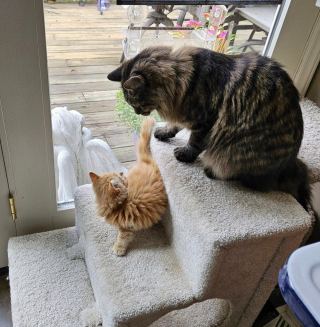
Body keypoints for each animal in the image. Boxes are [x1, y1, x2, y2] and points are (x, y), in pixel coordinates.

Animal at [89, 116, 166, 258]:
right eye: (121, 177)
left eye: (118, 174)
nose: (121, 173)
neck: (119, 205)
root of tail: (145, 161)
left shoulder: (126, 225)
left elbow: (122, 238)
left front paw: (118, 248)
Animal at [107, 46, 310, 210]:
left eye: (136, 103)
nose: (137, 112)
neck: (184, 80)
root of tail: (291, 165)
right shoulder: (184, 112)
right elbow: (174, 125)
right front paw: (163, 132)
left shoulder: (206, 121)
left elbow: (195, 142)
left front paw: (185, 154)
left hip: (238, 149)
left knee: (250, 180)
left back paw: (211, 170)